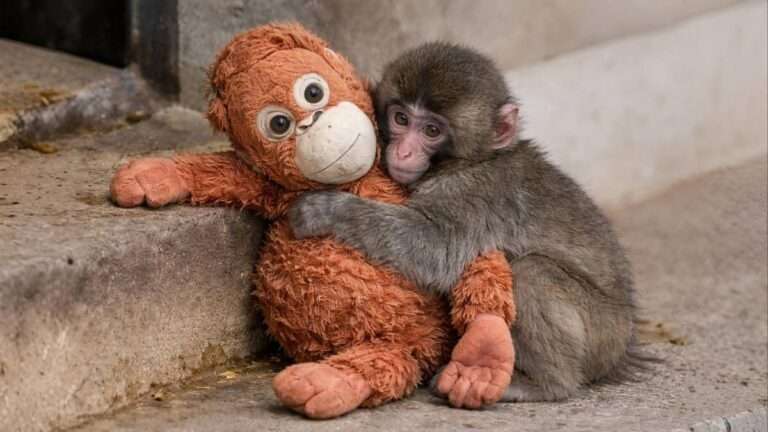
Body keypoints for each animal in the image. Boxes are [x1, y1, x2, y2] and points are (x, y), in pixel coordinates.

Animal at [288, 42, 648, 405]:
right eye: (401, 118)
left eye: (432, 130)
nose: (403, 152)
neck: (473, 160)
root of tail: (624, 342)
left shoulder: (475, 193)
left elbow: (435, 248)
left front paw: (326, 209)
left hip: (603, 332)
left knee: (531, 271)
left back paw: (545, 383)